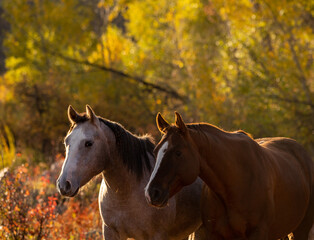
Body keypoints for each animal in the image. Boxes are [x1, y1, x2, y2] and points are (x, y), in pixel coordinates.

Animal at [56, 106, 204, 239]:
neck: (125, 194)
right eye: (66, 142)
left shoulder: (157, 235)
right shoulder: (110, 232)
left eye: (88, 143)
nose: (64, 184)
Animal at [145, 112, 314, 240]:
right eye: (155, 151)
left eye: (178, 153)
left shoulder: (258, 233)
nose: (151, 193)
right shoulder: (211, 234)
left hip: (301, 230)